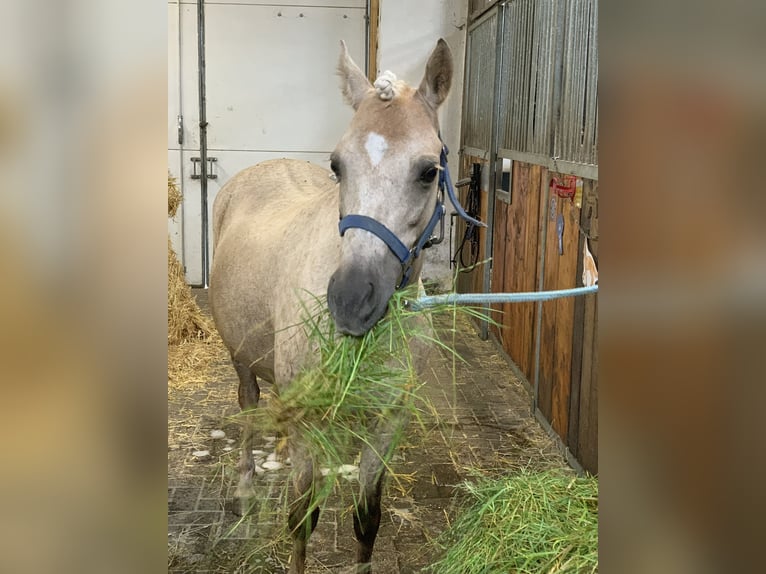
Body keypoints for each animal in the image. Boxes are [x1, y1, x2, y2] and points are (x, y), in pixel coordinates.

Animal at [210, 38, 456, 572]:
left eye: (428, 171)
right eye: (337, 165)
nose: (350, 301)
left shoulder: (387, 424)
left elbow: (367, 518)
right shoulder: (310, 424)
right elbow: (302, 519)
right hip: (241, 360)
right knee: (248, 410)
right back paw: (245, 489)